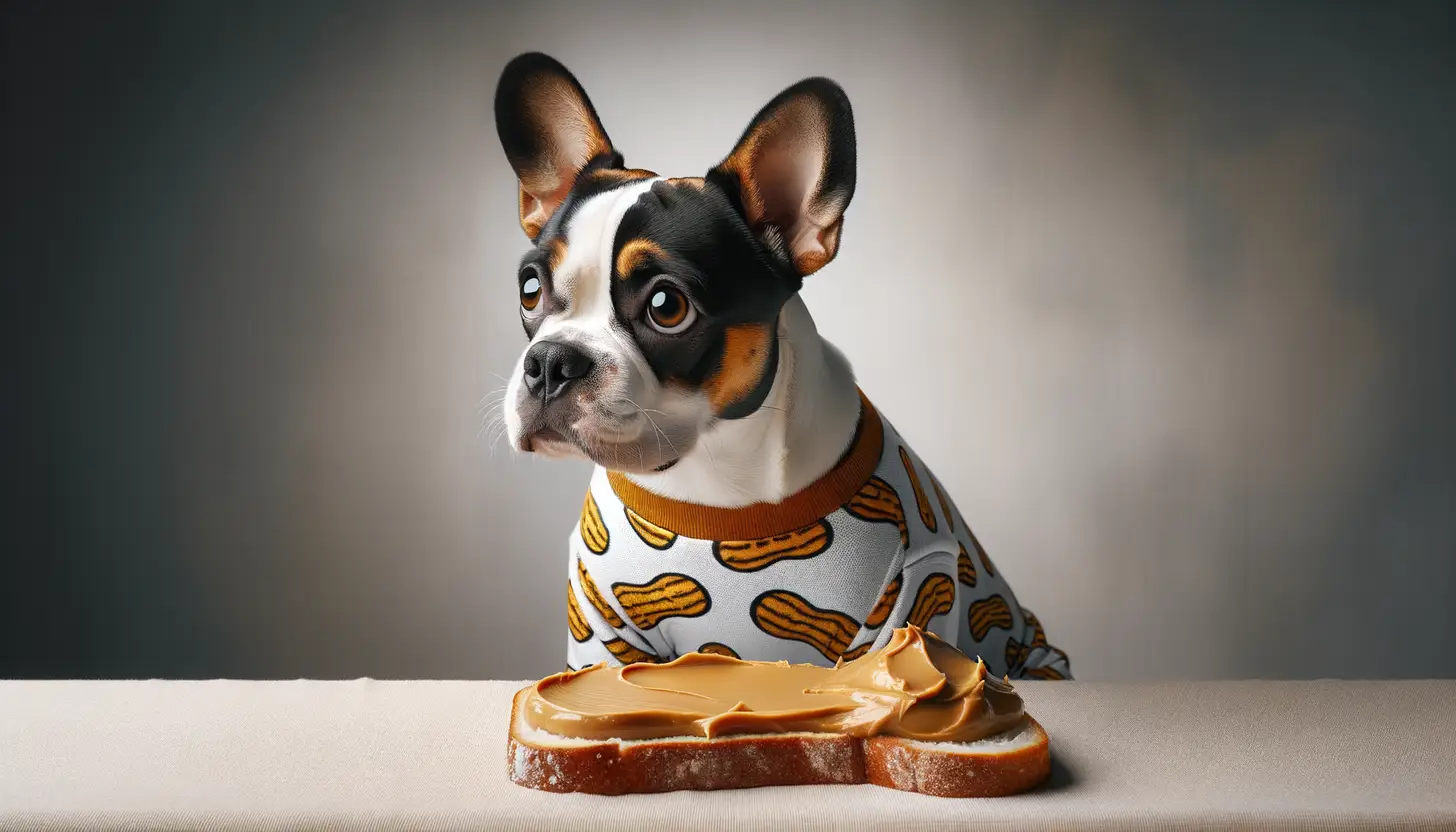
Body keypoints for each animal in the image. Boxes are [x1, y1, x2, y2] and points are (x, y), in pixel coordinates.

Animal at [489, 52, 1071, 679]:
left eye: (667, 306)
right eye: (529, 290)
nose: (551, 361)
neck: (714, 484)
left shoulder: (914, 597)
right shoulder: (600, 627)